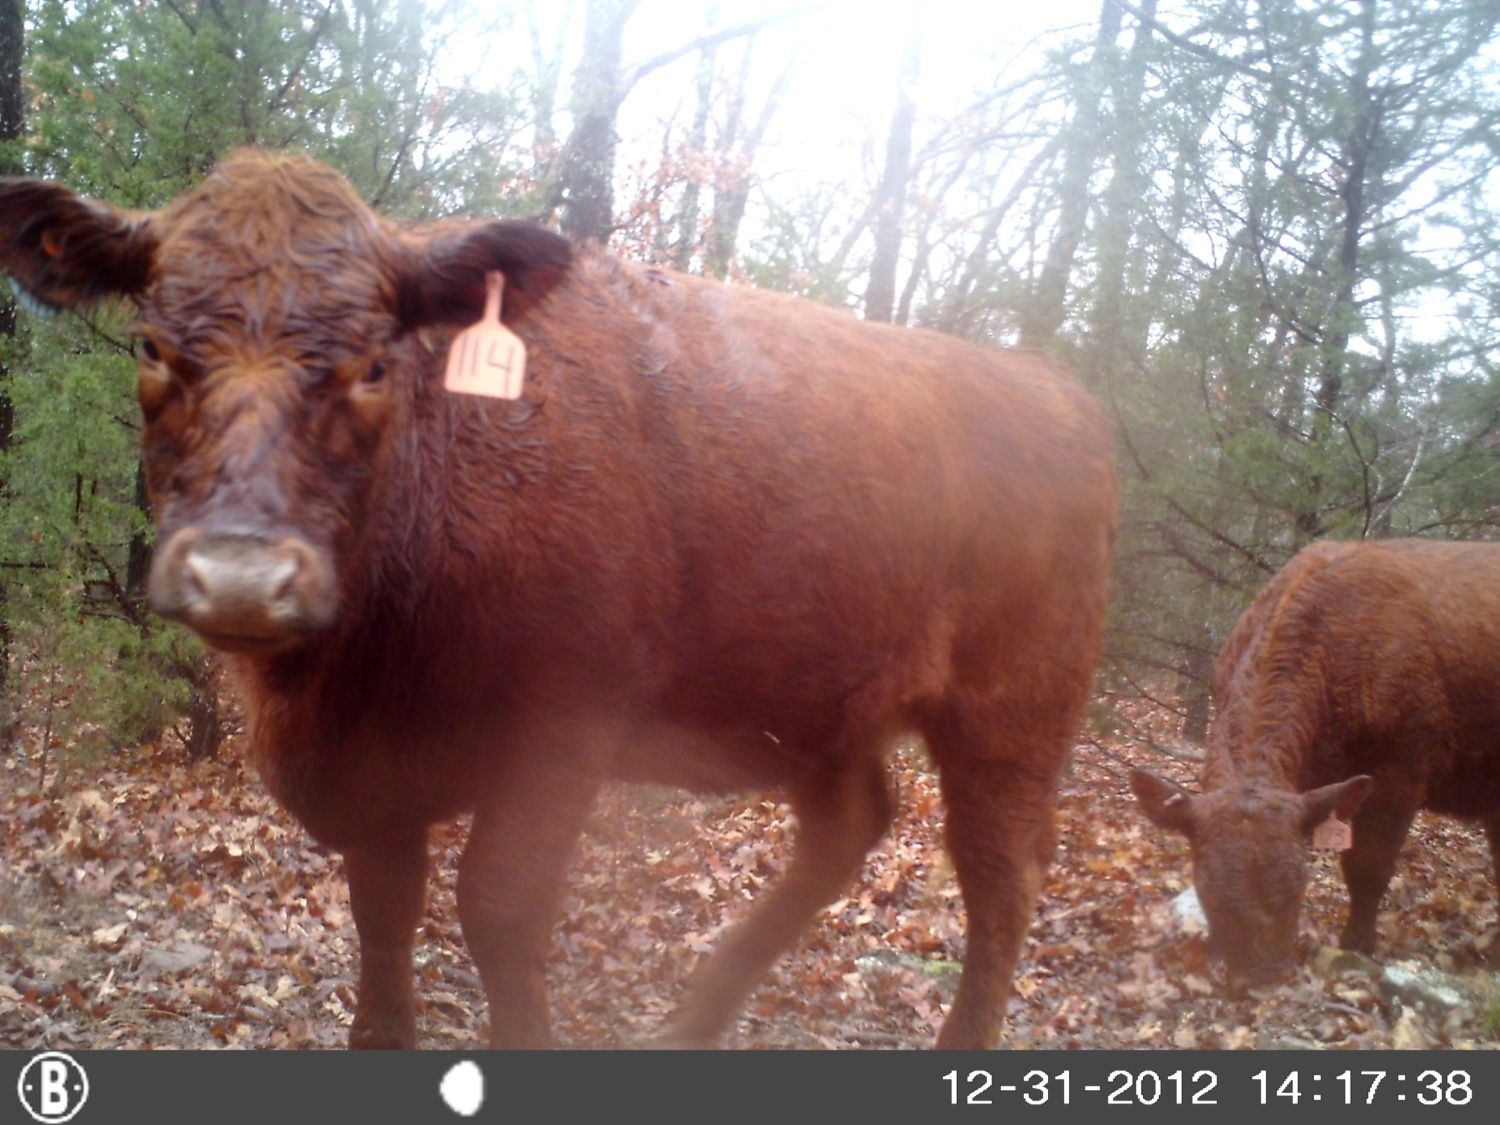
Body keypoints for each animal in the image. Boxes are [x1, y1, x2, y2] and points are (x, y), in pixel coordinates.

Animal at [0, 150, 1117, 1049]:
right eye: (151, 346)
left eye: (373, 361)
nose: (241, 573)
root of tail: (1060, 394)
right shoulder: (376, 781)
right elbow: (385, 920)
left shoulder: (559, 732)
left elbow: (499, 909)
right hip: (815, 710)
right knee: (850, 828)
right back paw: (689, 1028)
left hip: (1009, 721)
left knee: (1000, 888)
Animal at [1132, 538, 1500, 993]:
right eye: (1208, 887)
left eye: (1299, 884)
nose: (1264, 976)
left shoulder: (1404, 768)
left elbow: (1367, 868)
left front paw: (1357, 945)